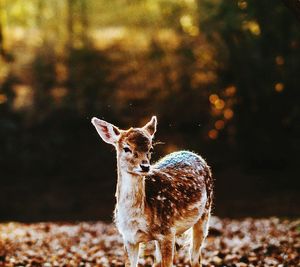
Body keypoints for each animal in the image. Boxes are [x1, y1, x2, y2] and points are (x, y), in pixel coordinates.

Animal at [91, 115, 213, 267]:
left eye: (150, 149)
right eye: (126, 148)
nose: (145, 166)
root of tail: (192, 153)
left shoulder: (168, 232)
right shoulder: (128, 238)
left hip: (205, 213)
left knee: (195, 257)